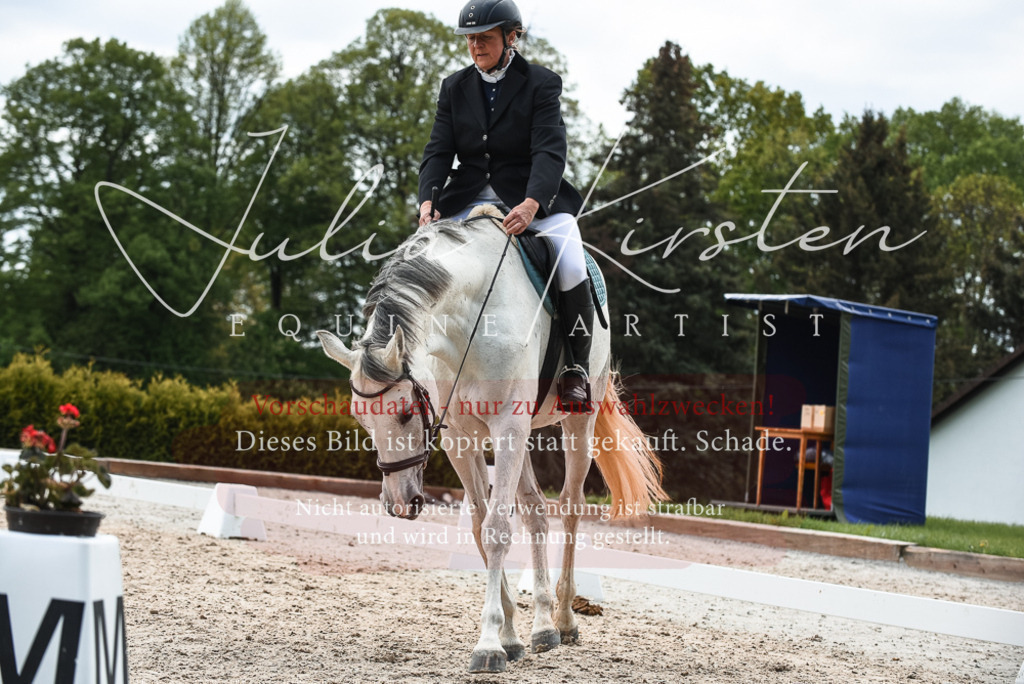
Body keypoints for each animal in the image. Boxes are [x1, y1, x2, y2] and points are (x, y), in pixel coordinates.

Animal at [316, 205, 667, 673]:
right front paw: (510, 637)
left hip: (577, 422)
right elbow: (481, 528)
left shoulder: (507, 428)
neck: (467, 324)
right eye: (361, 419)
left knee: (570, 507)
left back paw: (565, 618)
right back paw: (543, 626)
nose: (400, 504)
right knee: (536, 511)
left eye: (406, 411)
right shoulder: (461, 439)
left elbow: (498, 529)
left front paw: (488, 646)